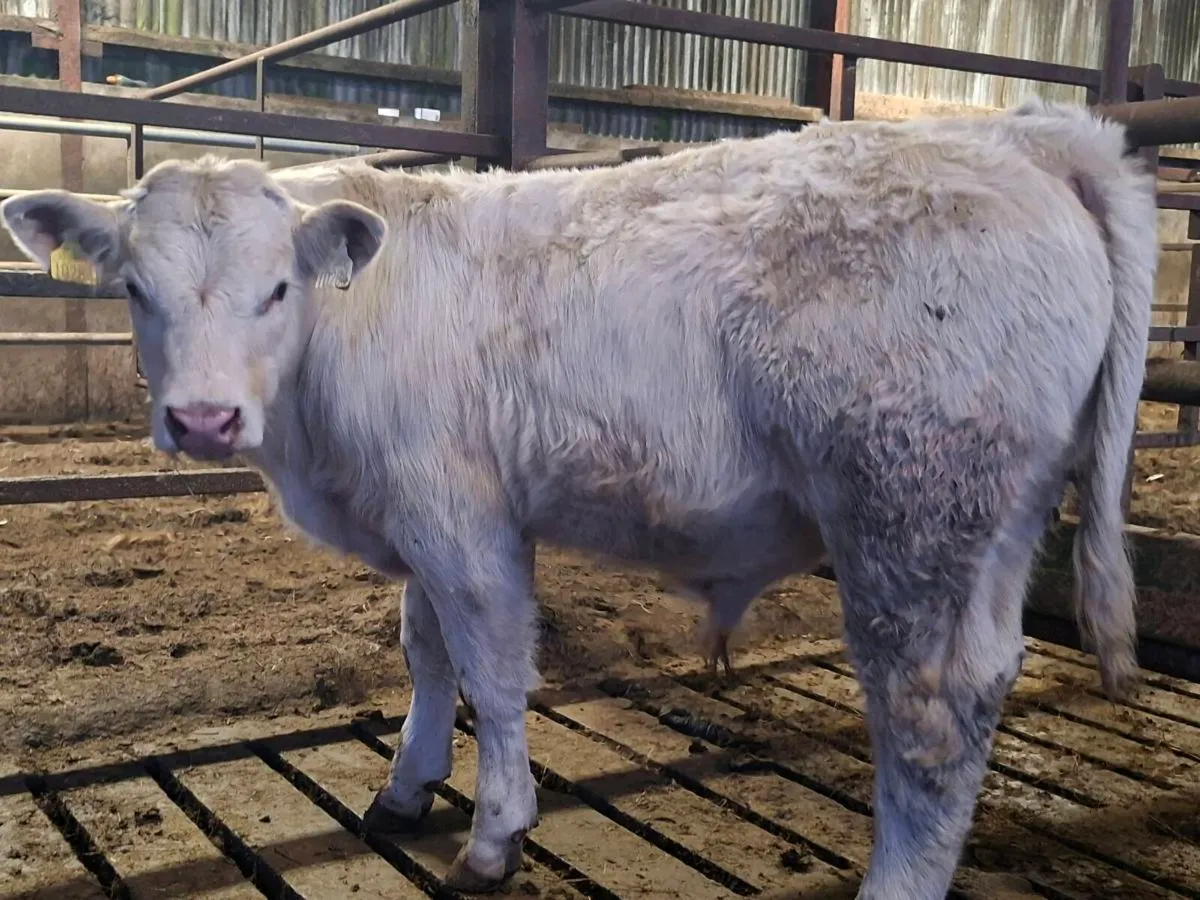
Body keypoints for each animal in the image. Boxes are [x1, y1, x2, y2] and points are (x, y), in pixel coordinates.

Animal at [1, 98, 1155, 899]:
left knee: (930, 715)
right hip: (994, 529)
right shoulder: (426, 515)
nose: (201, 420)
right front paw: (407, 784)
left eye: (275, 289)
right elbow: (425, 651)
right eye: (134, 290)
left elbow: (494, 669)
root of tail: (1031, 135)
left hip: (909, 514)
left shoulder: (461, 520)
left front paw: (494, 834)